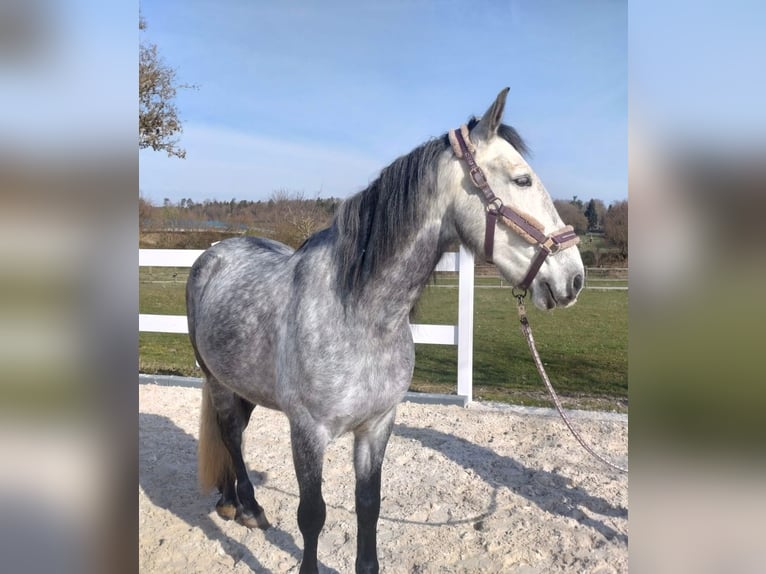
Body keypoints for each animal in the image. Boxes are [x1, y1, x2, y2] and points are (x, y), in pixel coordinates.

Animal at [185, 88, 584, 574]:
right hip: (217, 381)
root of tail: (215, 252)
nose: (573, 278)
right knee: (229, 433)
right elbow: (312, 515)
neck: (358, 315)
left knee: (234, 435)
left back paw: (231, 502)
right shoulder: (307, 433)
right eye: (522, 179)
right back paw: (248, 506)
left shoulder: (377, 426)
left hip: (243, 385)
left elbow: (368, 506)